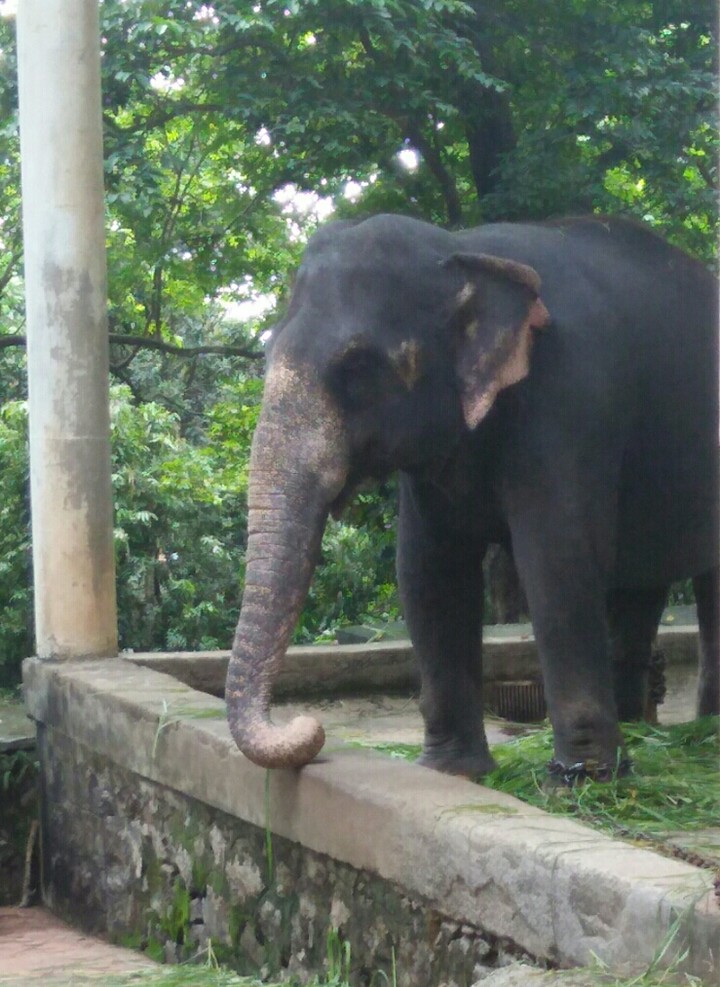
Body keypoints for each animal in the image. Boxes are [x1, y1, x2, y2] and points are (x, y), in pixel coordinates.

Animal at [225, 214, 719, 780]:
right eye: (266, 352)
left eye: (357, 367)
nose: (309, 725)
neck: (464, 252)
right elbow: (428, 570)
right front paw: (452, 770)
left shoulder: (572, 400)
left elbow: (558, 559)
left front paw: (580, 781)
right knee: (640, 587)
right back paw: (641, 732)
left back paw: (699, 734)